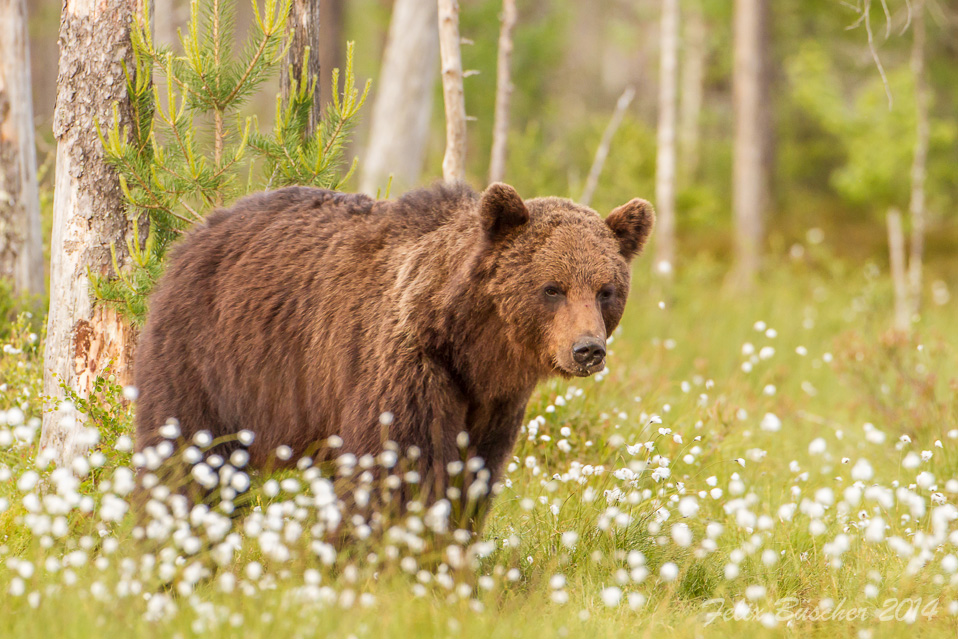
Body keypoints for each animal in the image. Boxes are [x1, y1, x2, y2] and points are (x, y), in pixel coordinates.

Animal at [135, 184, 656, 520]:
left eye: (606, 290)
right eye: (552, 288)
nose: (587, 349)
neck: (470, 346)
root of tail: (198, 230)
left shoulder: (492, 402)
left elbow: (473, 474)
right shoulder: (403, 366)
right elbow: (399, 467)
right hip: (209, 354)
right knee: (187, 449)